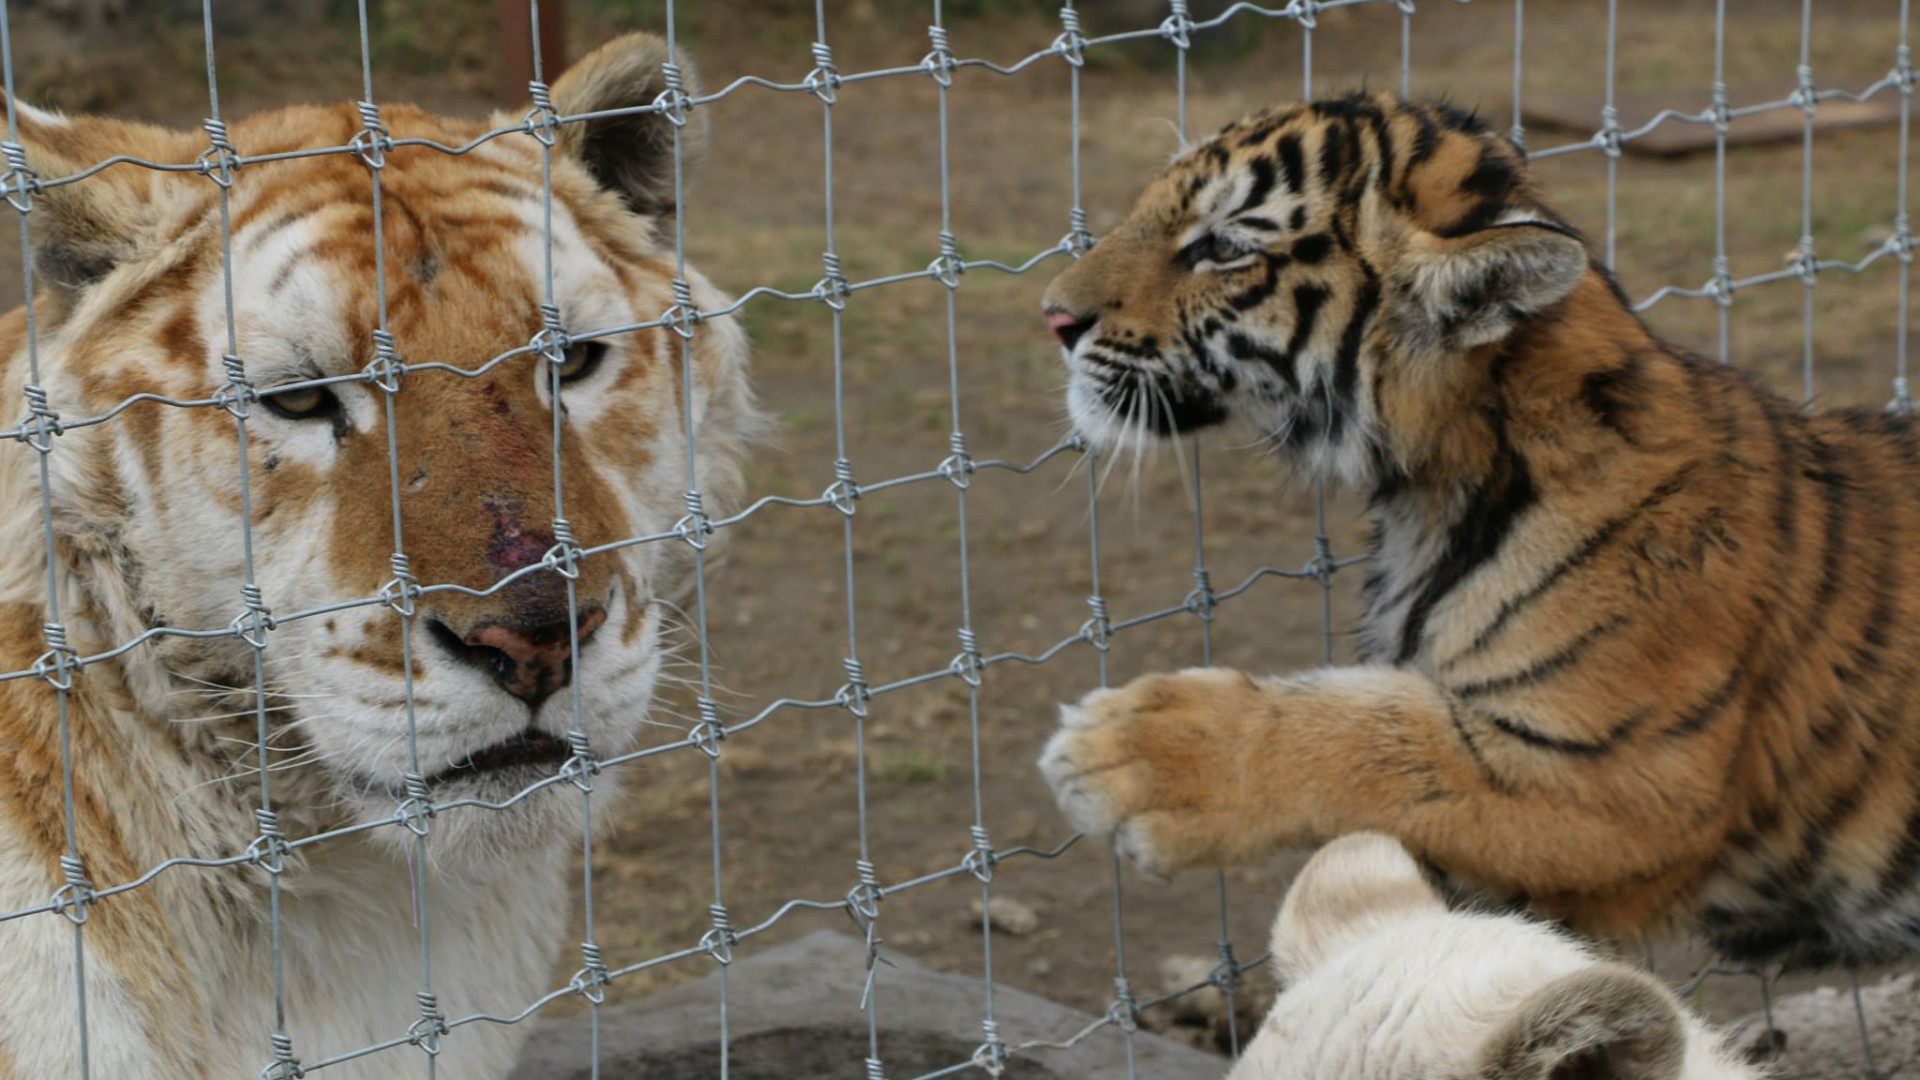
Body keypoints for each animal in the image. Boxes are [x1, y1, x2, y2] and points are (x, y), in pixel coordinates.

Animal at [1037, 91, 1920, 973]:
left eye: (1221, 248)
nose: (1054, 316)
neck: (1432, 492)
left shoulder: (1632, 785)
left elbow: (1380, 741)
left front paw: (1129, 753)